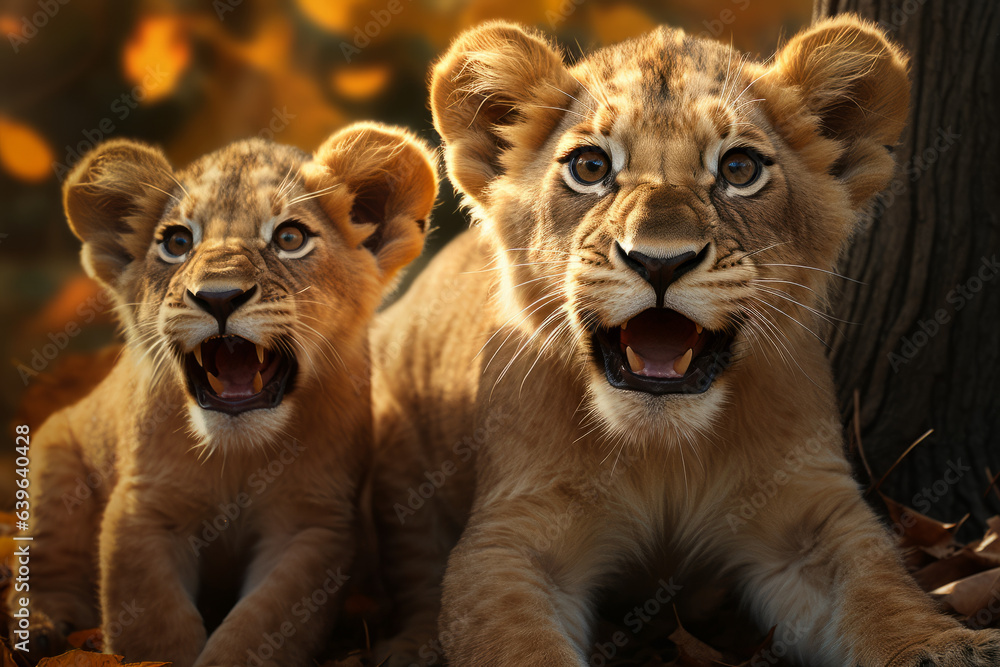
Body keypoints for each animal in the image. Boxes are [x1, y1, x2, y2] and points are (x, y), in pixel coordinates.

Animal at [11, 122, 437, 667]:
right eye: (176, 242)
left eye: (290, 238)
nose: (218, 298)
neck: (237, 457)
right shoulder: (144, 507)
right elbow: (153, 626)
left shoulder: (312, 526)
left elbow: (261, 626)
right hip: (53, 457)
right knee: (45, 561)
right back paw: (42, 630)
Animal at [369, 16, 1000, 667]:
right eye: (590, 168)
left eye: (740, 169)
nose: (659, 262)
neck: (664, 453)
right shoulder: (511, 536)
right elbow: (519, 645)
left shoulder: (812, 519)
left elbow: (884, 594)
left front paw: (945, 647)